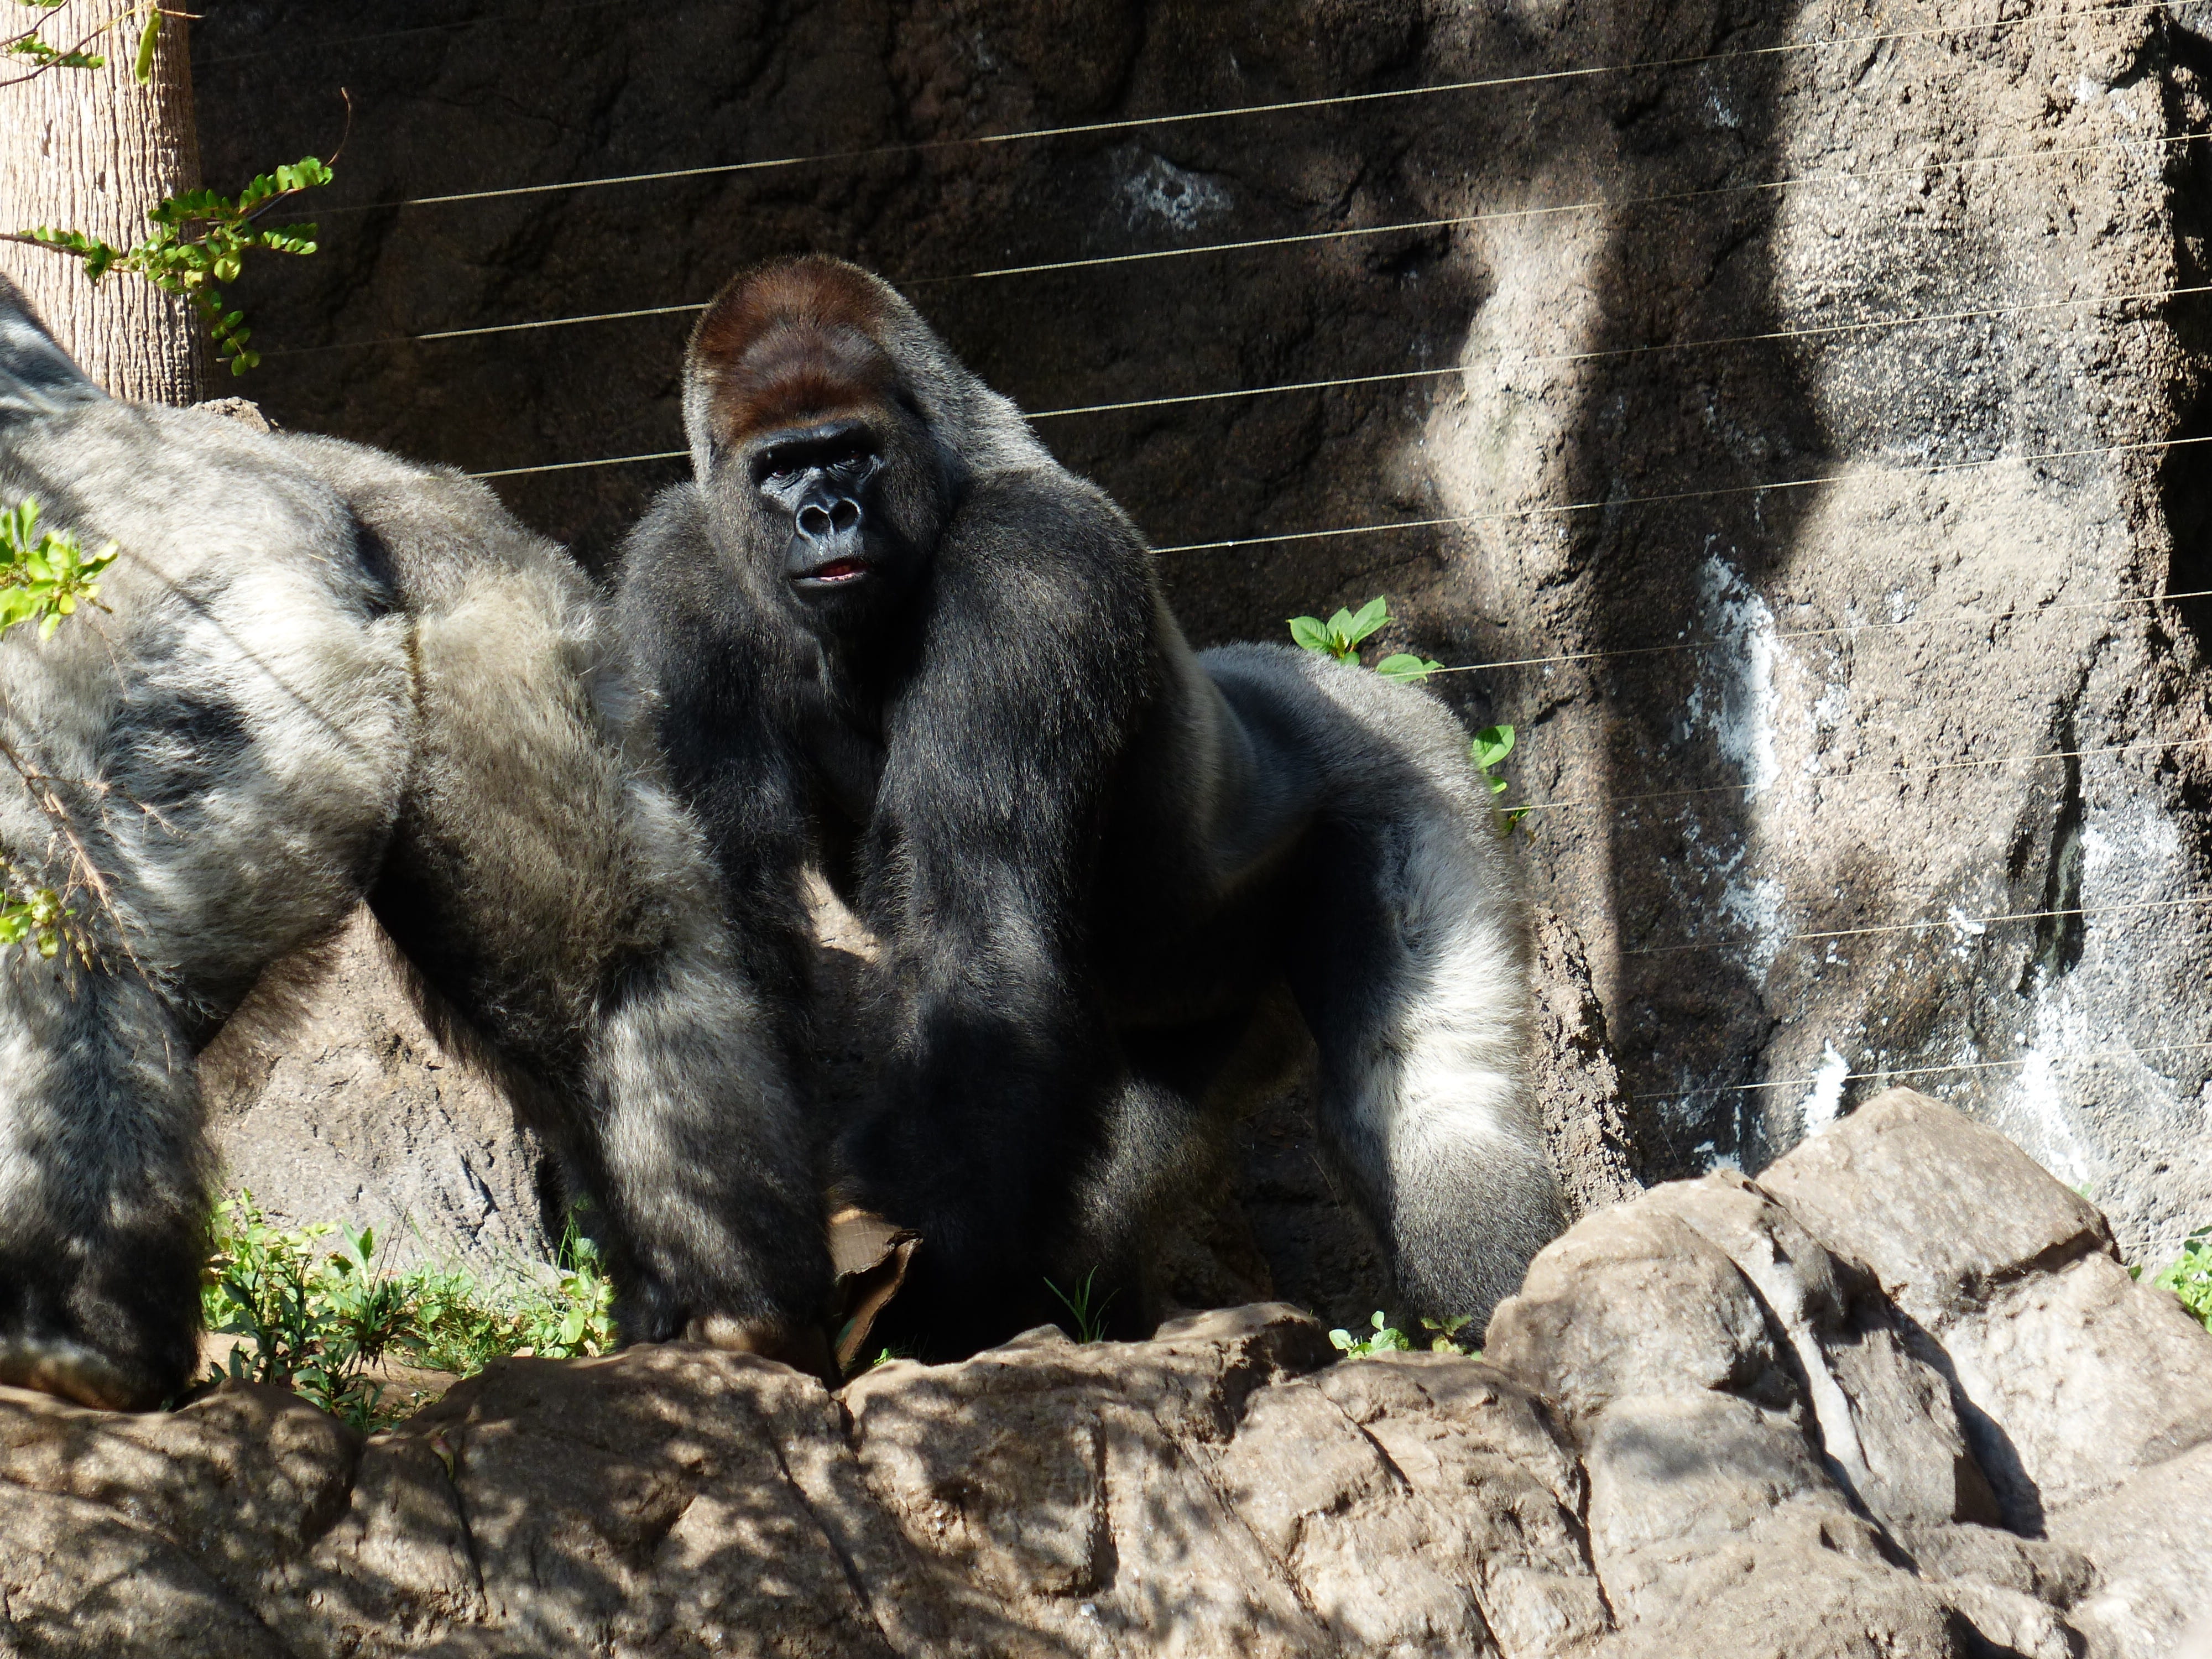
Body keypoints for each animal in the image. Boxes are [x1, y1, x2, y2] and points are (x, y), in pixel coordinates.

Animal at [0, 277, 832, 1411]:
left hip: (214, 670)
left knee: (58, 930)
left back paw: (82, 1342)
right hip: (498, 634)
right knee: (615, 978)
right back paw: (734, 1302)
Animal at [615, 255, 1565, 1361]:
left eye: (849, 451)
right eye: (781, 470)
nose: (826, 516)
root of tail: (1337, 676)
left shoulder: (1035, 572)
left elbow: (980, 936)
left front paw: (918, 1296)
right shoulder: (678, 577)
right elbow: (721, 932)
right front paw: (721, 1265)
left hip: (1416, 765)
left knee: (1424, 1095)